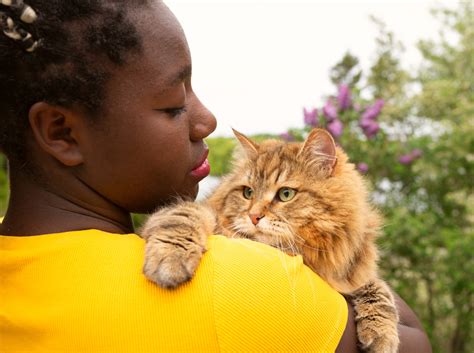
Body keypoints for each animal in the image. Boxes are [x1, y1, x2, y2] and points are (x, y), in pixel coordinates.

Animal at [142, 127, 400, 352]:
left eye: (286, 194)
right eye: (247, 193)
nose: (254, 216)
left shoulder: (350, 273)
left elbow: (378, 289)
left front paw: (382, 333)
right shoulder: (203, 213)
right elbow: (183, 215)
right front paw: (170, 258)